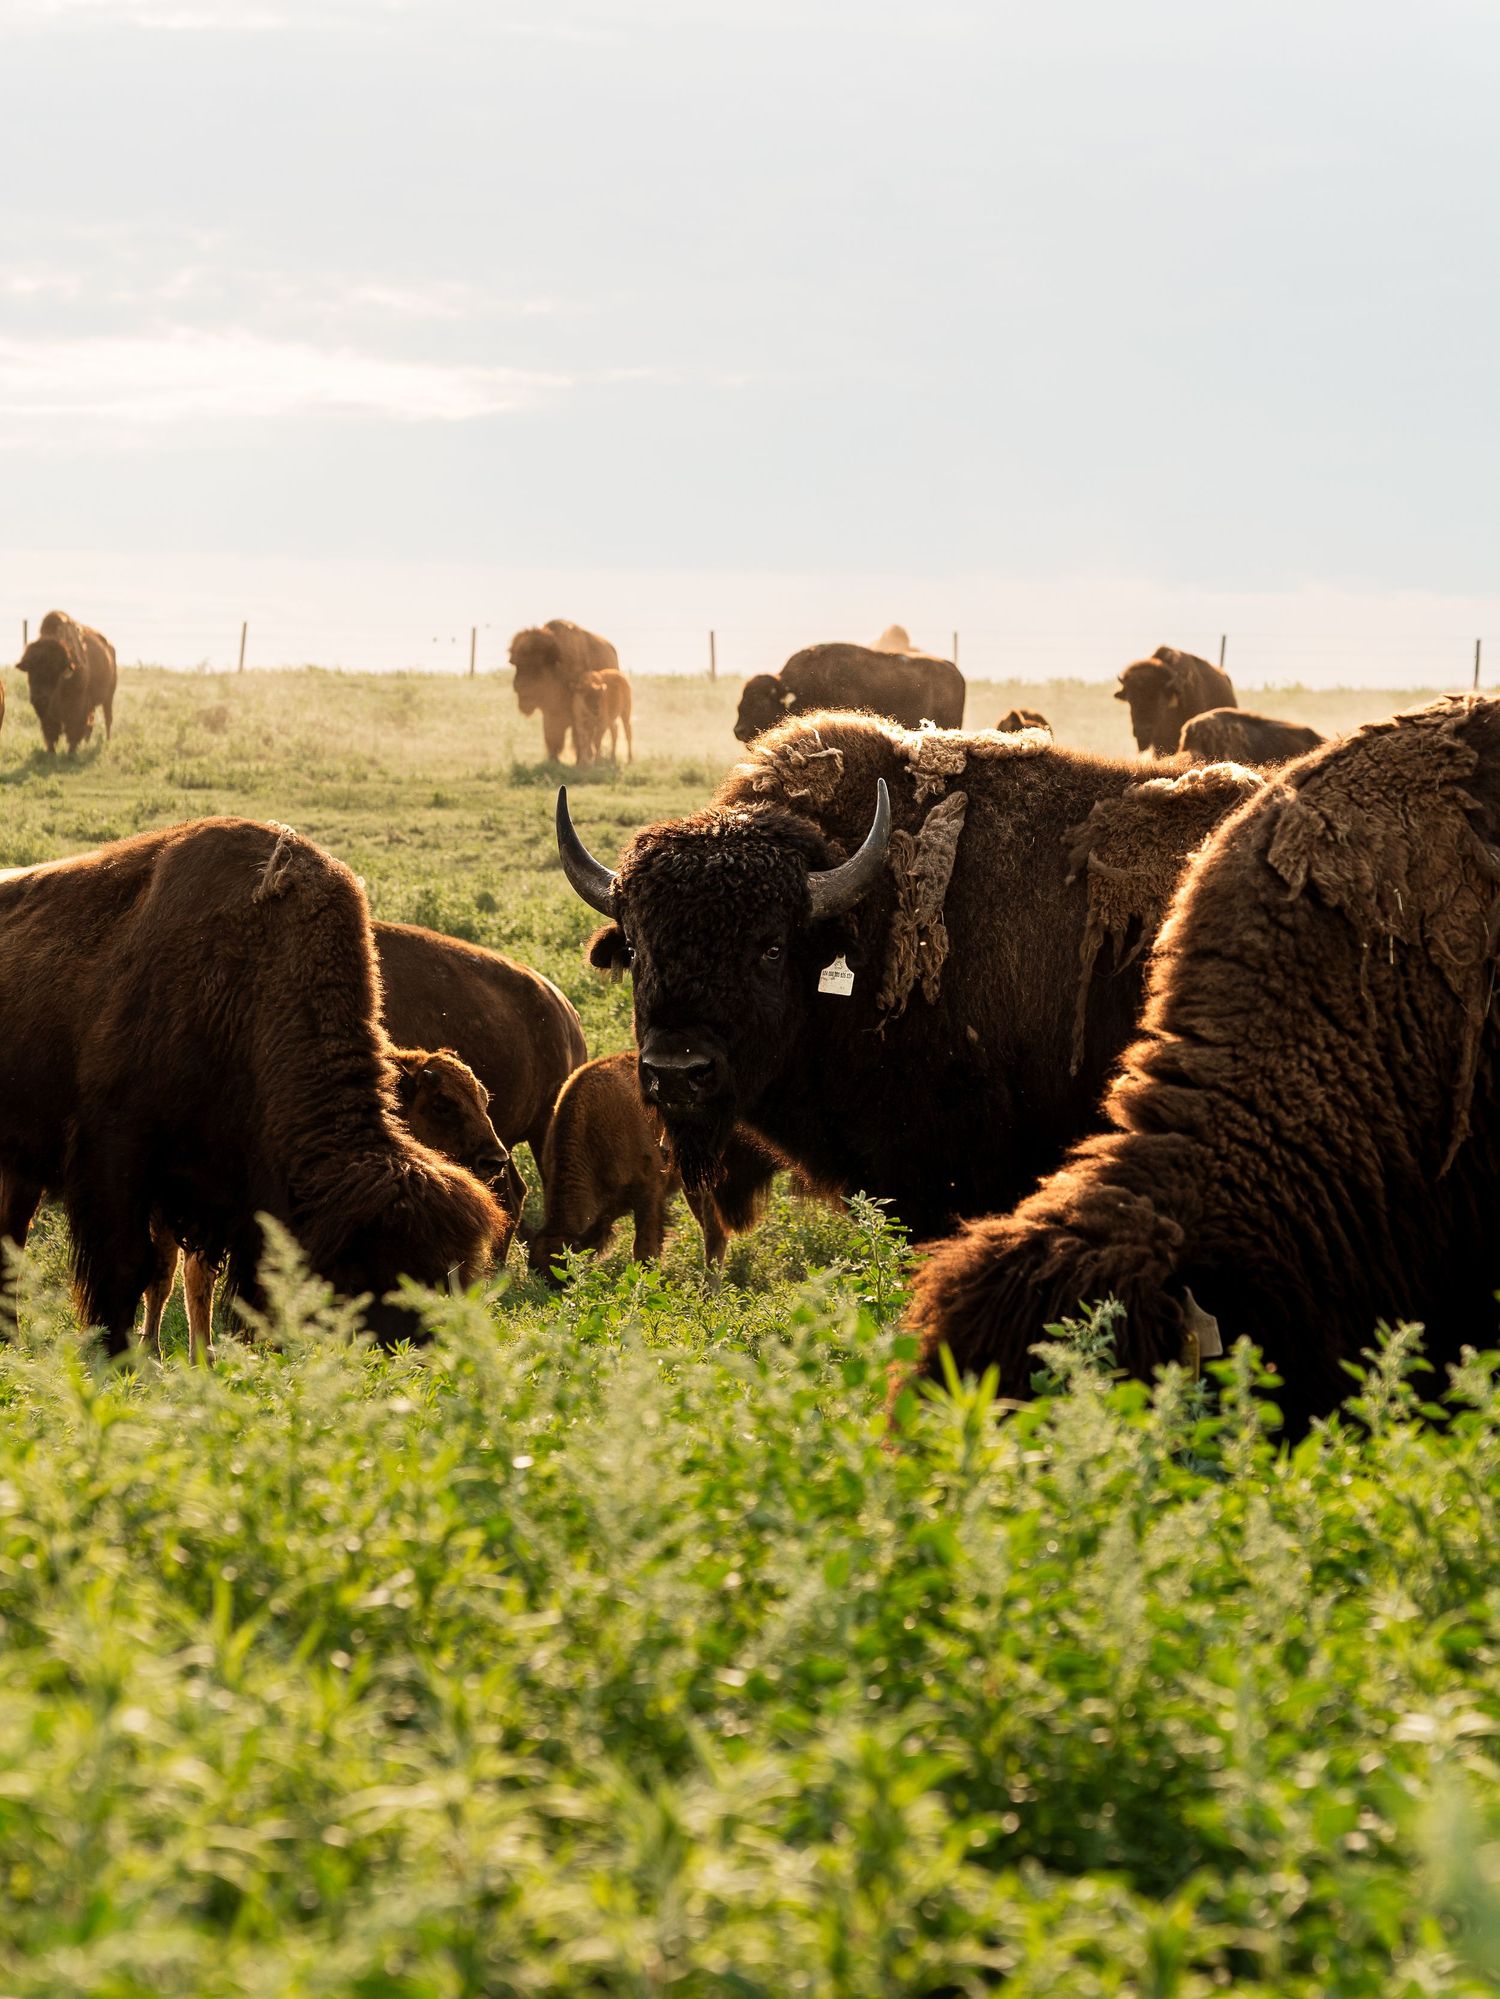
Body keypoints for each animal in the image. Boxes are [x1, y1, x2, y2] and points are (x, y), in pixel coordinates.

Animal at [16, 610, 117, 755]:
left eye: (55, 670)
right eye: (30, 669)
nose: (39, 697)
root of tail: (110, 647)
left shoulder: (78, 706)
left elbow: (73, 730)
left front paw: (71, 753)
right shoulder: (46, 715)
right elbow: (50, 732)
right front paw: (51, 753)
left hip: (108, 697)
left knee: (107, 719)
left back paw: (107, 741)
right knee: (91, 723)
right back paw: (87, 743)